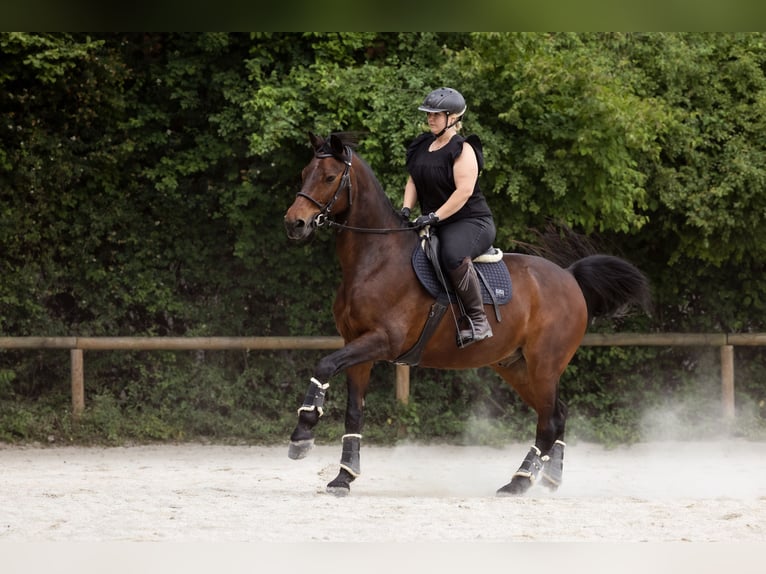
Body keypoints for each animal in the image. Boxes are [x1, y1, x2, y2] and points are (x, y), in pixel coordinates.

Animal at [284, 133, 652, 498]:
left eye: (330, 177)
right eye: (304, 174)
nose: (294, 223)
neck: (376, 259)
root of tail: (570, 277)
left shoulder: (383, 341)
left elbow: (324, 364)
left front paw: (303, 433)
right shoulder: (357, 345)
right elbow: (354, 411)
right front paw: (343, 476)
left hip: (544, 364)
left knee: (549, 421)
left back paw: (519, 481)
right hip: (516, 366)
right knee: (558, 413)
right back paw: (549, 478)